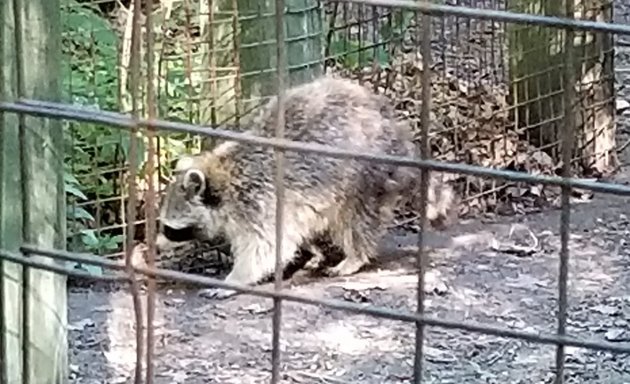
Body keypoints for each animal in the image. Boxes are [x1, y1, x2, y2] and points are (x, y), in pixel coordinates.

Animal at [156, 76, 456, 300]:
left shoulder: (259, 201)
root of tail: (393, 128)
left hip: (362, 174)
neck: (221, 180)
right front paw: (312, 250)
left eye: (170, 229)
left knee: (354, 219)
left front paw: (235, 279)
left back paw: (355, 255)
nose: (156, 248)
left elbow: (265, 247)